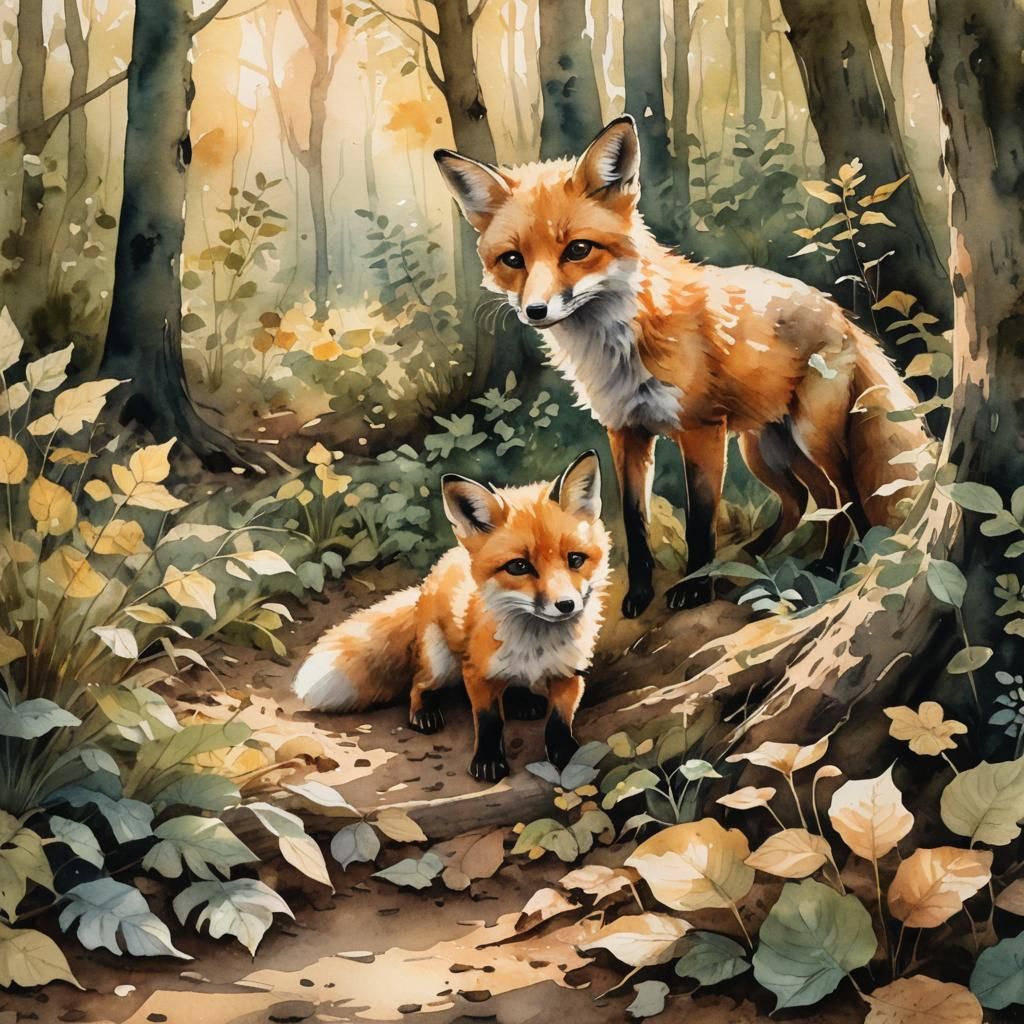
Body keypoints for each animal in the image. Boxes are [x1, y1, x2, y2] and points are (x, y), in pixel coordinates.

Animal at [292, 451, 610, 782]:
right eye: (519, 566)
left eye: (575, 559)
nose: (567, 605)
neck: (535, 645)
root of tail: (430, 580)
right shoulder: (476, 674)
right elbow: (489, 721)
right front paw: (487, 761)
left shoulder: (569, 672)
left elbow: (559, 720)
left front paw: (568, 755)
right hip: (439, 664)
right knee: (418, 684)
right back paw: (424, 713)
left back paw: (523, 702)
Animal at [435, 116, 928, 618]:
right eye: (513, 259)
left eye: (577, 250)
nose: (535, 311)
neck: (621, 348)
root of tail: (839, 313)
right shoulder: (625, 432)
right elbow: (634, 522)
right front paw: (639, 594)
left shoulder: (702, 431)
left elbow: (699, 522)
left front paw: (695, 588)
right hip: (766, 449)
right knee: (806, 500)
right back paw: (757, 552)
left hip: (809, 437)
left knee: (847, 496)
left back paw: (835, 565)